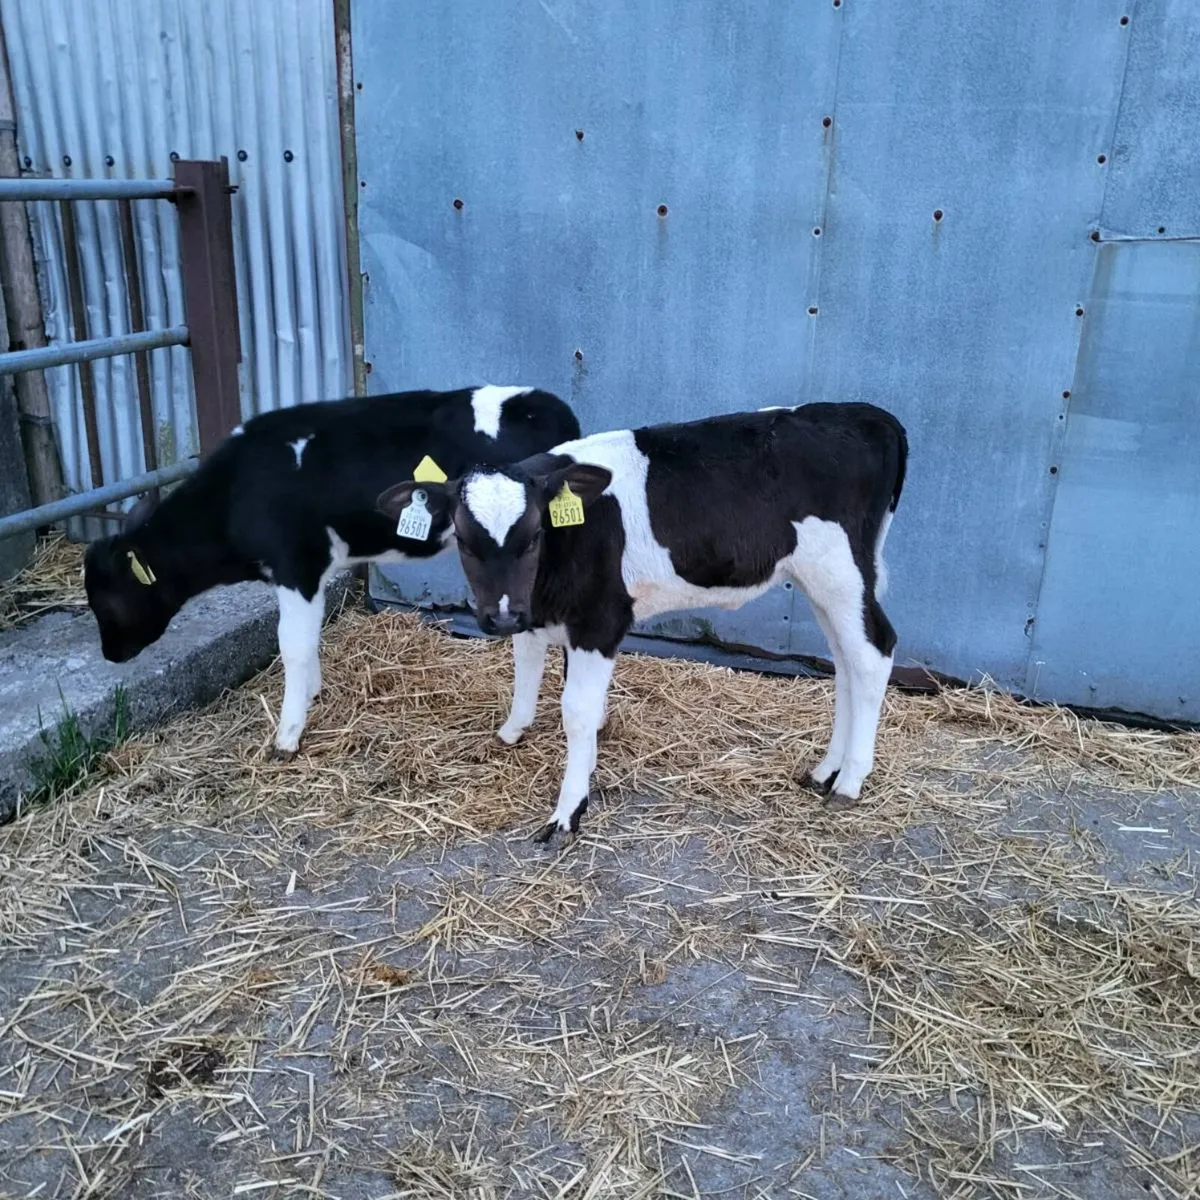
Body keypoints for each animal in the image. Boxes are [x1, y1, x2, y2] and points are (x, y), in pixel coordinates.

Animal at [84, 386, 580, 755]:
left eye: (107, 597)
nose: (109, 654)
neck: (236, 493)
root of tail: (544, 402)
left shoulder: (296, 566)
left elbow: (293, 645)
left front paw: (287, 735)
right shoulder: (313, 572)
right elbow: (312, 637)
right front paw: (312, 693)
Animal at [376, 402, 907, 843]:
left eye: (532, 536)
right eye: (464, 541)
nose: (502, 615)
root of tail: (867, 414)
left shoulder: (600, 619)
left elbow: (577, 710)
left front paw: (568, 811)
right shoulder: (537, 613)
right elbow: (526, 671)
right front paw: (512, 732)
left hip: (838, 568)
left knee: (873, 652)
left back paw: (850, 780)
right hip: (824, 580)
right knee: (844, 659)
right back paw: (825, 770)